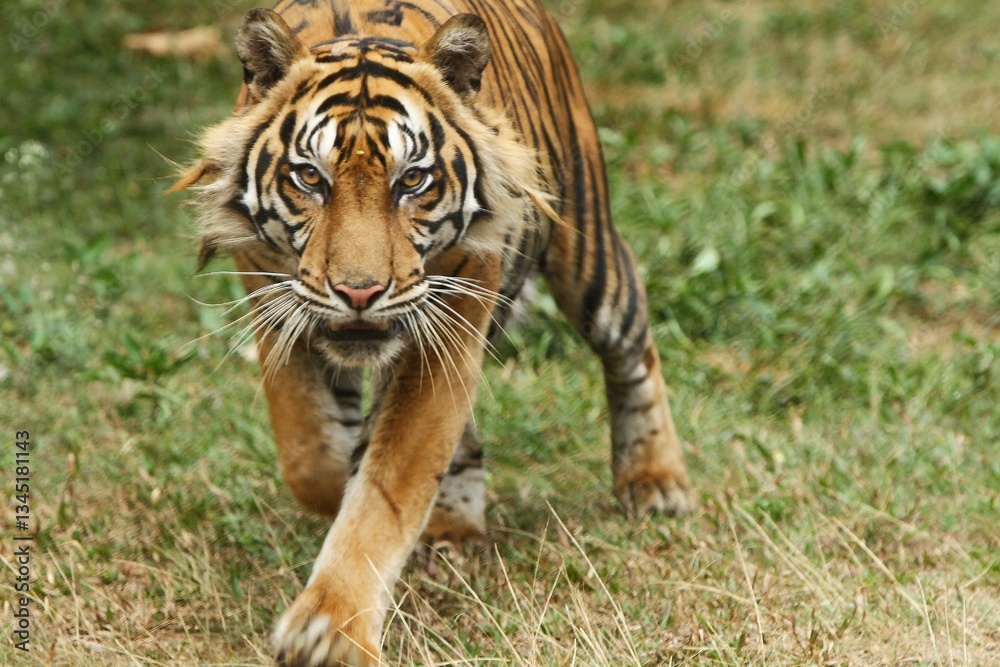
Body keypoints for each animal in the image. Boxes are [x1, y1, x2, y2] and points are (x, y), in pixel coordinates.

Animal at [173, 0, 693, 664]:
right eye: (310, 178)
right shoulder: (273, 298)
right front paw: (347, 472)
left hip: (588, 255)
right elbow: (310, 452)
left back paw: (654, 481)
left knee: (632, 343)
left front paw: (332, 629)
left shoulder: (447, 327)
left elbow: (390, 480)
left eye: (412, 181)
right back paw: (453, 528)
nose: (360, 292)